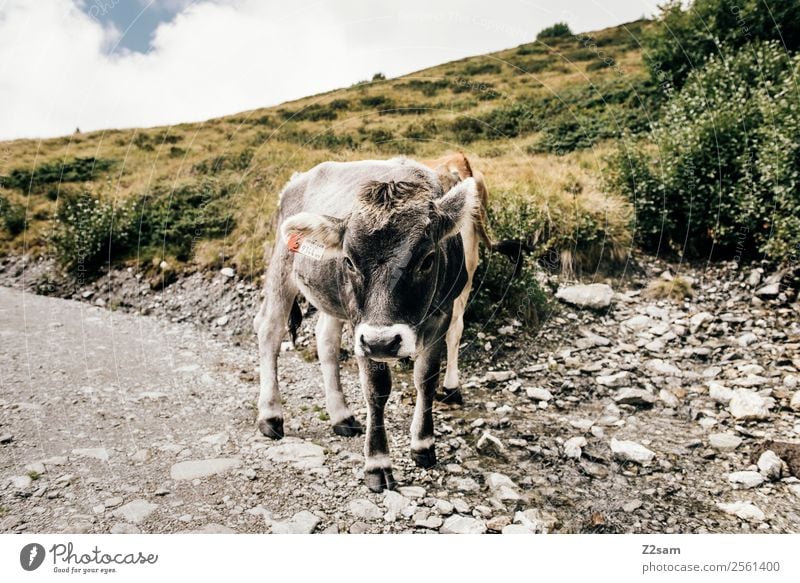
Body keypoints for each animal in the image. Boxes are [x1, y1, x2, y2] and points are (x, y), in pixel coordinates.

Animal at [256, 156, 478, 492]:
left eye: (426, 259)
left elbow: (426, 379)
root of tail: (295, 181)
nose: (383, 342)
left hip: (335, 300)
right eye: (349, 260)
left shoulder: (443, 312)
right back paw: (270, 415)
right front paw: (378, 462)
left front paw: (423, 445)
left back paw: (341, 416)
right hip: (282, 271)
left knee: (325, 341)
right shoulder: (363, 328)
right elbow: (376, 389)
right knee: (269, 332)